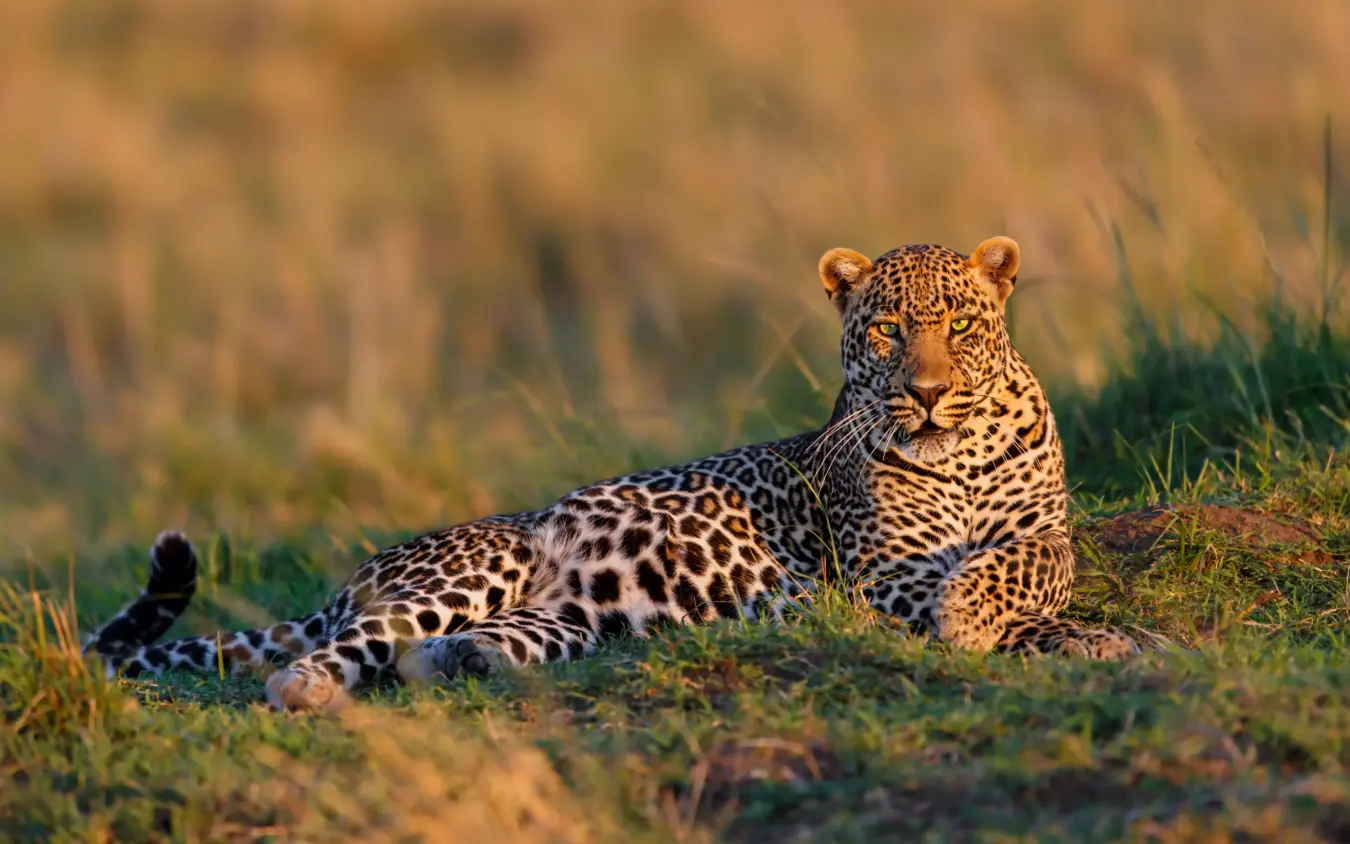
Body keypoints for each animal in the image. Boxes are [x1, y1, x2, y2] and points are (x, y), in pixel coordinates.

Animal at [86, 236, 1140, 712]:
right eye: (884, 330)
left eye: (960, 325)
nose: (925, 394)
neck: (956, 456)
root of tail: (355, 578)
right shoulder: (881, 575)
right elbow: (973, 589)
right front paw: (1021, 630)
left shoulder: (1045, 529)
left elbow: (1036, 563)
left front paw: (1068, 630)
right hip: (477, 567)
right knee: (341, 650)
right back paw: (308, 689)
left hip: (565, 620)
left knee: (442, 653)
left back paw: (460, 666)